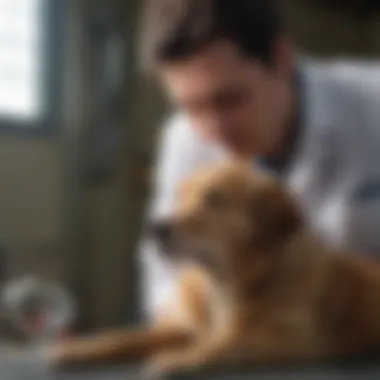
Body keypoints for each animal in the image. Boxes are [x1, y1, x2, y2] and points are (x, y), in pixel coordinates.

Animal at [49, 163, 380, 374]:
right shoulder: (181, 327)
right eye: (179, 196)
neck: (224, 284)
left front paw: (182, 358)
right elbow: (123, 337)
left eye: (215, 198)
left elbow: (225, 342)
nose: (154, 228)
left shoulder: (296, 340)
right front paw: (77, 349)